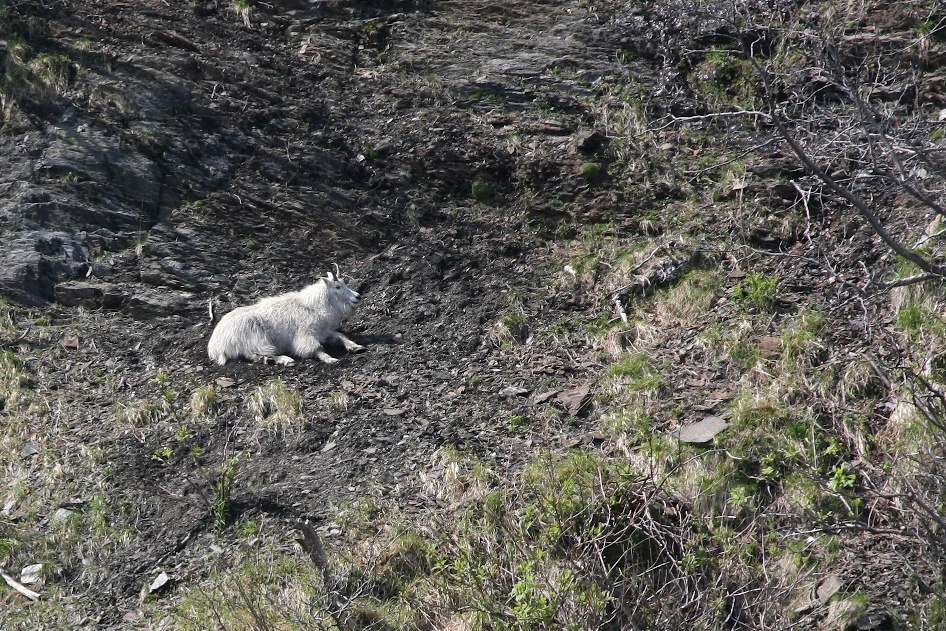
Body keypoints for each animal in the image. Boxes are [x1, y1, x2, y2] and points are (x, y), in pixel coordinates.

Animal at [207, 269, 364, 366]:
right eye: (337, 287)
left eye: (344, 282)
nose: (357, 296)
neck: (313, 306)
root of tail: (215, 346)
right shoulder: (304, 335)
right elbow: (316, 348)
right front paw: (330, 359)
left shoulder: (323, 332)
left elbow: (340, 336)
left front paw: (356, 347)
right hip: (257, 337)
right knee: (265, 351)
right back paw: (284, 359)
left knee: (250, 355)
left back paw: (265, 360)